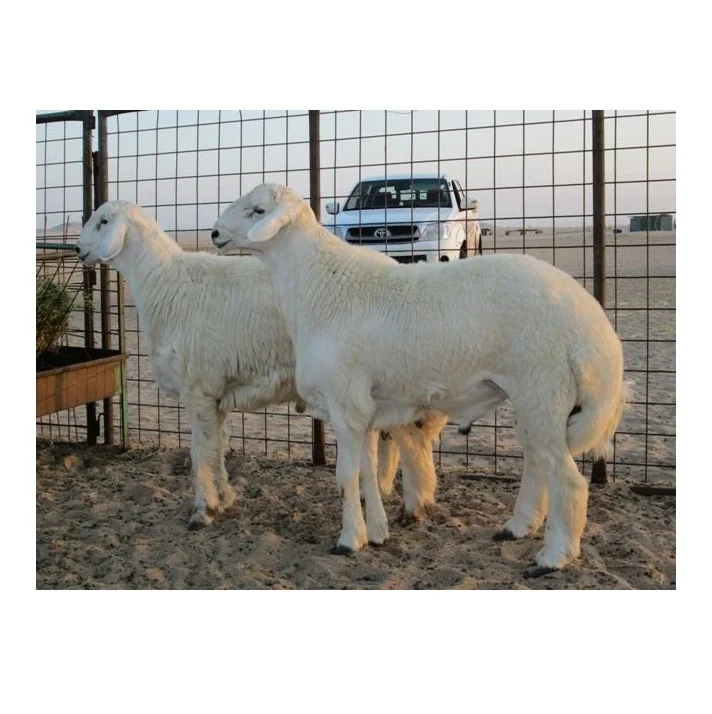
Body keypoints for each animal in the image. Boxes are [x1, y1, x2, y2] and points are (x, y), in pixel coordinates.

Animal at [76, 200, 446, 538]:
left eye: (103, 221)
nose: (78, 249)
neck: (165, 285)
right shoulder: (216, 394)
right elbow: (217, 449)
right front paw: (223, 498)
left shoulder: (198, 388)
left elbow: (200, 454)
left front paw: (202, 510)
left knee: (410, 438)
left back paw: (414, 505)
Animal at [211, 183, 629, 574]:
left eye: (258, 210)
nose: (214, 233)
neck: (318, 285)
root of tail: (596, 329)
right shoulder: (364, 409)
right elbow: (367, 474)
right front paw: (376, 533)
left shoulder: (345, 403)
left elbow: (346, 477)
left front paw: (348, 540)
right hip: (535, 398)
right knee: (537, 463)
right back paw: (516, 527)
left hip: (544, 390)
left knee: (568, 480)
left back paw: (553, 557)